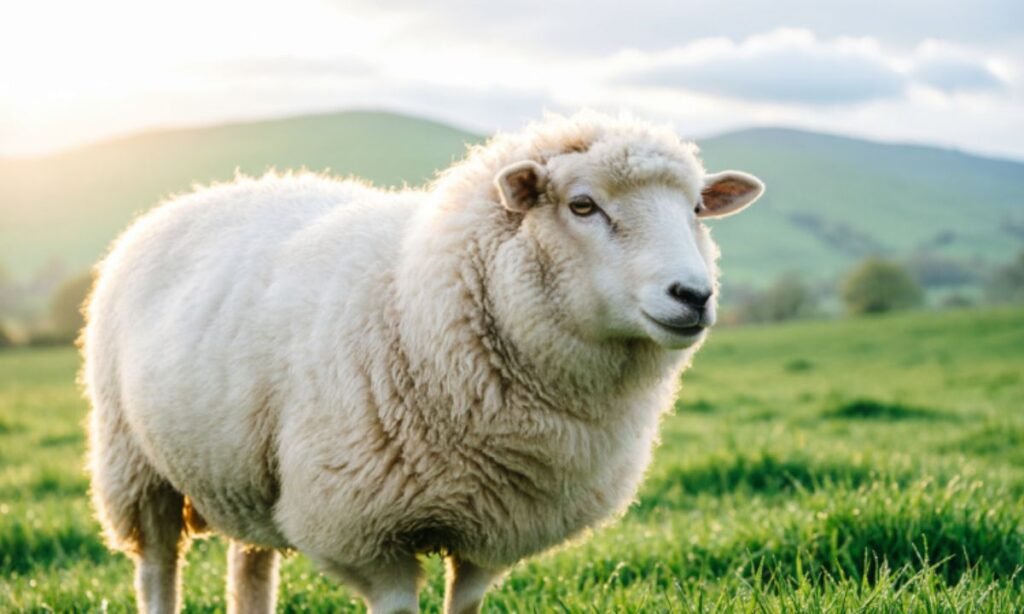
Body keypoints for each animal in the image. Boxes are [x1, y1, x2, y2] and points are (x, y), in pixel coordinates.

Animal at [82, 111, 764, 614]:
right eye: (582, 205)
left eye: (697, 210)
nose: (694, 295)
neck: (417, 302)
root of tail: (201, 192)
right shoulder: (364, 531)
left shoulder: (493, 533)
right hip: (134, 462)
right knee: (157, 568)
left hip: (247, 472)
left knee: (250, 565)